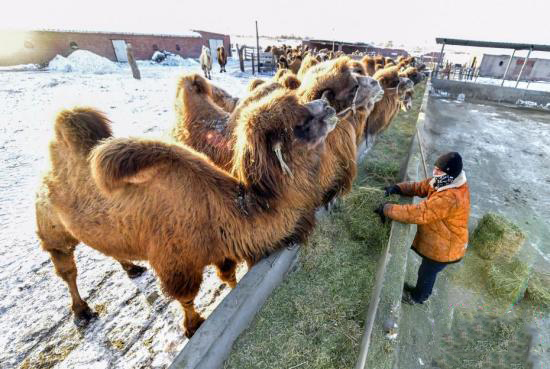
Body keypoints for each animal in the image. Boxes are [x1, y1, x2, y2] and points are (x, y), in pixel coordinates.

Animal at [36, 90, 338, 336]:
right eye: (298, 125)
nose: (327, 105)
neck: (226, 210)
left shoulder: (222, 250)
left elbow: (228, 276)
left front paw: (231, 291)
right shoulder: (176, 264)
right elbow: (186, 297)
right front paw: (193, 326)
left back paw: (132, 268)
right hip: (52, 227)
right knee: (66, 267)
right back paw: (82, 311)